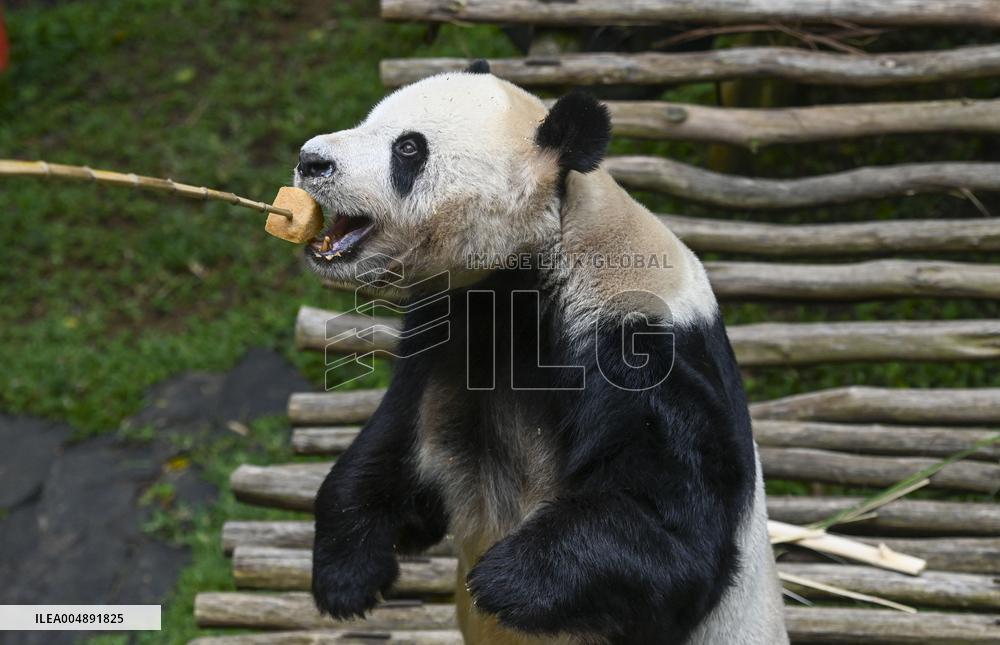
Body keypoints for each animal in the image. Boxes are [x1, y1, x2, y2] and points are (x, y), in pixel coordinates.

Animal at [295, 60, 788, 645]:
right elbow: (394, 447)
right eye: (369, 120)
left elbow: (675, 528)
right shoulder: (448, 332)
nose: (311, 160)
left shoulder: (643, 347)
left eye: (408, 149)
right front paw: (347, 576)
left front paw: (503, 579)